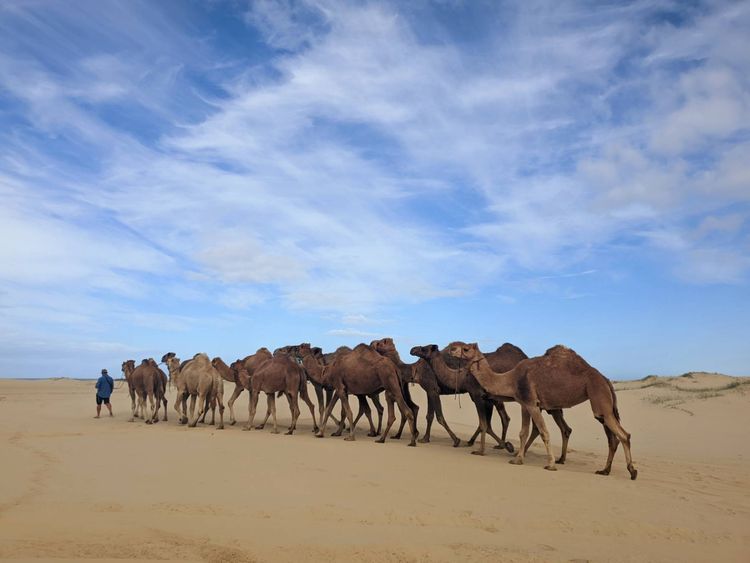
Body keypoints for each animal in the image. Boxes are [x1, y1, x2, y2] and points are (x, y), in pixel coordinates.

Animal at [452, 344, 640, 480]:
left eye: (466, 348)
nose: (452, 349)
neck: (511, 378)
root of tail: (606, 379)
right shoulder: (525, 404)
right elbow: (523, 432)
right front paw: (517, 459)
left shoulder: (532, 404)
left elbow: (544, 432)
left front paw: (550, 464)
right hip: (603, 404)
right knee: (613, 438)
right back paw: (605, 470)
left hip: (599, 399)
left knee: (623, 435)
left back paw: (632, 471)